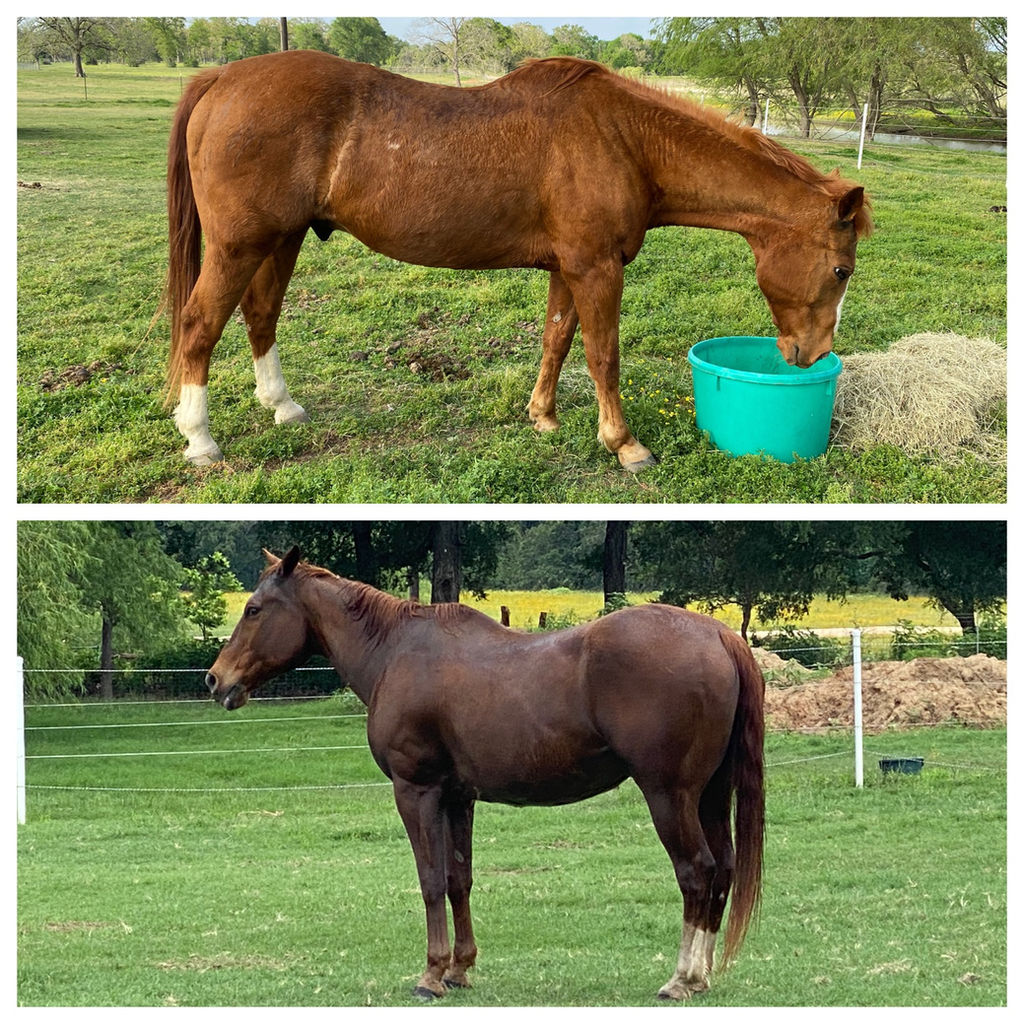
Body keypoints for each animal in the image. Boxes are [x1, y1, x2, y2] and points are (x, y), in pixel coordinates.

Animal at [165, 51, 872, 471]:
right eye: (841, 270)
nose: (810, 355)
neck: (626, 139)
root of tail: (222, 79)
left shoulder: (568, 268)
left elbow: (557, 340)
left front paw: (543, 417)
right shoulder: (596, 268)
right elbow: (602, 353)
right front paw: (623, 444)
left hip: (280, 241)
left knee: (259, 316)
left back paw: (281, 406)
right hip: (238, 245)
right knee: (199, 326)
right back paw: (200, 440)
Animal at [206, 547, 766, 1002]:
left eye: (254, 610)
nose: (215, 679)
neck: (395, 652)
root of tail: (718, 635)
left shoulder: (417, 791)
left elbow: (431, 879)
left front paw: (431, 975)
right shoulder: (459, 797)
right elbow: (459, 879)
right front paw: (459, 970)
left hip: (669, 796)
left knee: (697, 872)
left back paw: (682, 978)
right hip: (710, 796)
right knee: (723, 869)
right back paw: (702, 976)